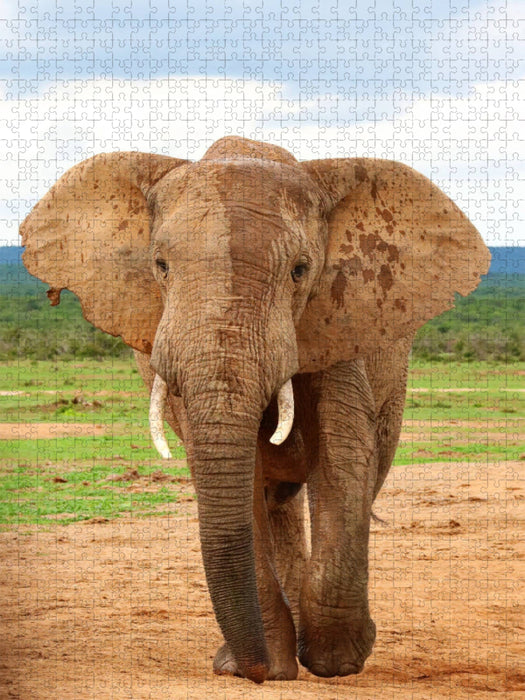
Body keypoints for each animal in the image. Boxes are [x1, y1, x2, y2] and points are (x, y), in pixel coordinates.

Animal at [20, 136, 490, 683]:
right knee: (274, 499)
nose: (256, 669)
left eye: (300, 270)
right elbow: (238, 477)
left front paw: (336, 662)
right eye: (160, 266)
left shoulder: (335, 320)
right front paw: (265, 666)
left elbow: (345, 455)